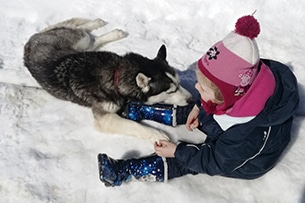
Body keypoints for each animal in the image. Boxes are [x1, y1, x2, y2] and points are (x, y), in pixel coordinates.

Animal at [23, 18, 191, 142]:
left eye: (179, 83)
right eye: (171, 91)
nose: (191, 100)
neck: (115, 74)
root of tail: (29, 42)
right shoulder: (105, 118)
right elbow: (136, 126)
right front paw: (157, 135)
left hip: (82, 47)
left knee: (91, 39)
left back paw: (108, 29)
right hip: (79, 40)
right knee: (82, 33)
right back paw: (99, 25)